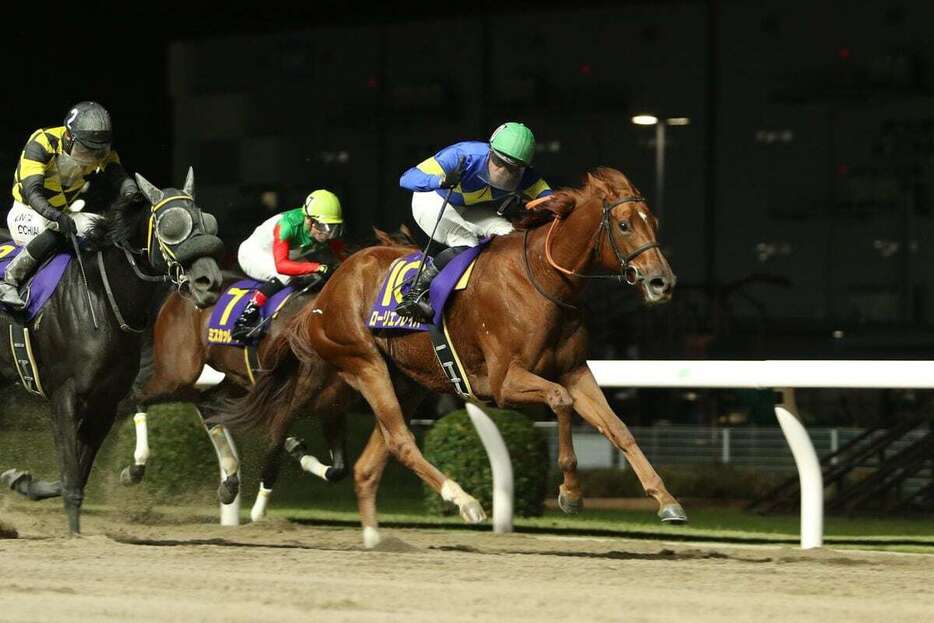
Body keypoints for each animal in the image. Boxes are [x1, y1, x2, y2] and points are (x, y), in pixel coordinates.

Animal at [0, 168, 225, 532]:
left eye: (207, 221)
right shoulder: (64, 395)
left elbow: (76, 474)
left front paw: (22, 481)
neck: (102, 298)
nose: (210, 282)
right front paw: (74, 533)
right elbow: (71, 476)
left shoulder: (106, 401)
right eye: (171, 226)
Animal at [227, 168, 680, 548]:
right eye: (624, 225)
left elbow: (617, 428)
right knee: (397, 439)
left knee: (370, 460)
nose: (663, 282)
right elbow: (561, 402)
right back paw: (465, 501)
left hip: (405, 381)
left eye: (655, 222)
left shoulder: (573, 370)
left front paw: (666, 500)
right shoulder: (503, 382)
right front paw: (569, 492)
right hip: (362, 363)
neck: (541, 279)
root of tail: (326, 292)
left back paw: (376, 537)